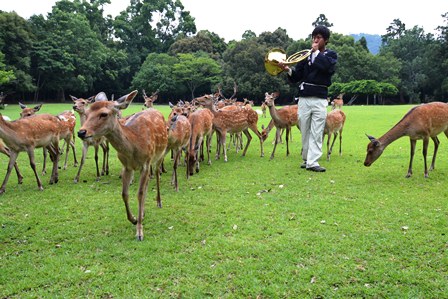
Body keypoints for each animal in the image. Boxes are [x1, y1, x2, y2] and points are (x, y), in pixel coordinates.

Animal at [77, 91, 168, 241]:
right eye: (87, 112)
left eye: (104, 114)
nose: (81, 132)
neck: (134, 144)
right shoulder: (127, 167)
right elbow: (124, 194)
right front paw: (134, 219)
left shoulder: (145, 163)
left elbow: (139, 194)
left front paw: (139, 232)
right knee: (147, 184)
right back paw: (143, 213)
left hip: (160, 154)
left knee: (157, 175)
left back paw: (159, 202)